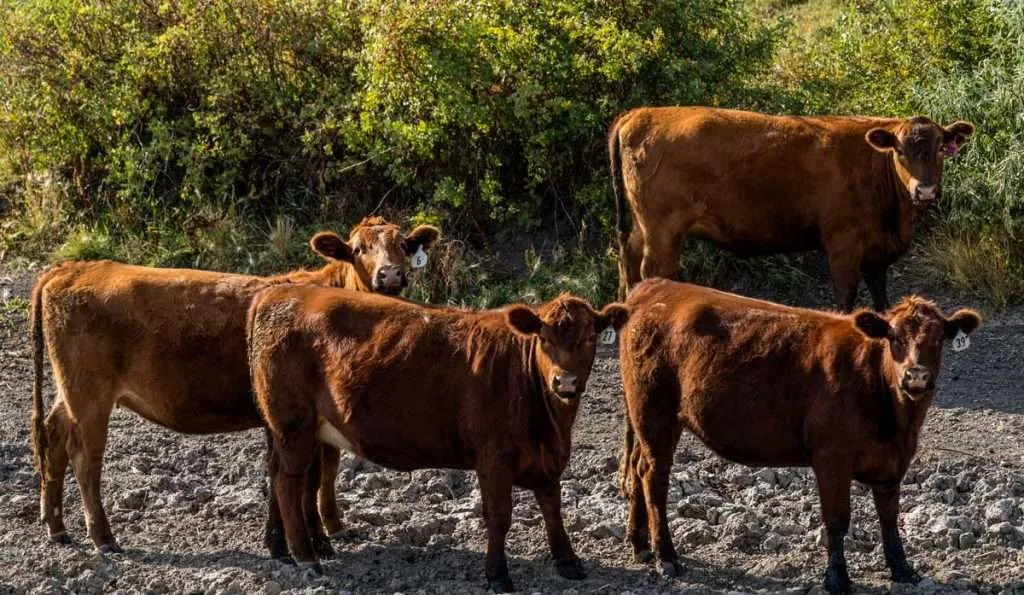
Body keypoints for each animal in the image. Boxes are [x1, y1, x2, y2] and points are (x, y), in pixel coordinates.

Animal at [30, 216, 439, 556]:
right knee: (85, 456)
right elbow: (308, 475)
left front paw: (320, 531)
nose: (390, 275)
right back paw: (103, 536)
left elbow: (320, 471)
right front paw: (313, 540)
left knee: (53, 437)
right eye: (358, 249)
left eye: (403, 244)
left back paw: (56, 526)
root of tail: (76, 267)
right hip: (89, 394)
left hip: (72, 391)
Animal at [247, 288, 629, 593]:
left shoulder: (548, 455)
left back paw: (281, 548)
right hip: (293, 425)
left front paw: (567, 561)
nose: (565, 382)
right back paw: (306, 557)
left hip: (292, 431)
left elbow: (552, 507)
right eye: (544, 339)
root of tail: (279, 292)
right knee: (288, 483)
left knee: (278, 477)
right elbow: (499, 516)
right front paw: (497, 574)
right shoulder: (494, 458)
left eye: (590, 339)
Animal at [609, 107, 975, 310]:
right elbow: (846, 294)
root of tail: (640, 113)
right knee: (652, 271)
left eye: (940, 148)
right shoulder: (843, 243)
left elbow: (880, 294)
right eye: (899, 151)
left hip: (643, 227)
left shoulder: (877, 250)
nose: (924, 189)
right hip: (663, 231)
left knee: (628, 261)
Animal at [618, 278, 980, 594]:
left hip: (654, 420)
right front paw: (836, 578)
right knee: (654, 477)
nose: (916, 376)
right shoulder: (831, 459)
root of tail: (654, 287)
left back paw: (639, 543)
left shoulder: (892, 463)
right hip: (654, 414)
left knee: (637, 468)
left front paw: (902, 569)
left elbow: (889, 519)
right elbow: (837, 520)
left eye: (938, 339)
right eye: (893, 338)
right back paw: (666, 555)